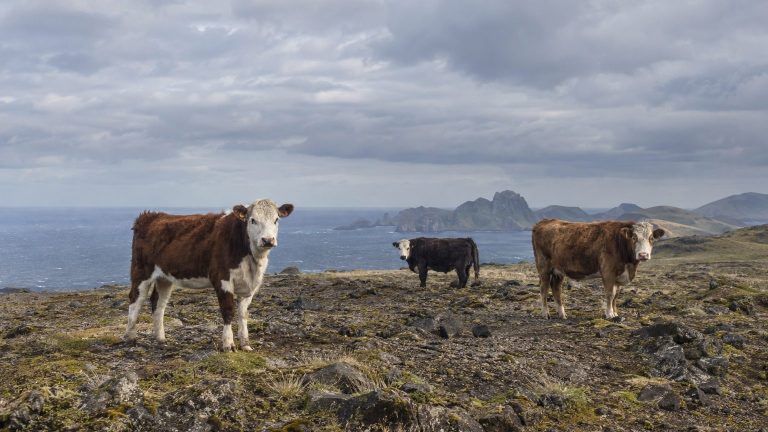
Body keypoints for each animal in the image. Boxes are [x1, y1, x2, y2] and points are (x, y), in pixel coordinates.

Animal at [125, 199, 294, 351]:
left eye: (276, 219)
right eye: (252, 220)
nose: (268, 240)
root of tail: (150, 216)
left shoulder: (250, 285)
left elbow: (243, 314)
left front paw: (245, 344)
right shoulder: (222, 278)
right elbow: (228, 310)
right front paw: (228, 344)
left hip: (164, 277)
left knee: (158, 303)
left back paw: (160, 339)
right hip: (141, 271)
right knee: (135, 299)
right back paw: (130, 337)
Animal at [532, 219, 664, 320]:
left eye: (651, 238)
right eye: (634, 237)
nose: (643, 255)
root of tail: (545, 221)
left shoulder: (619, 276)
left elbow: (616, 296)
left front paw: (615, 313)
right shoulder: (608, 272)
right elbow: (610, 294)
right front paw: (609, 314)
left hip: (558, 271)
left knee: (556, 288)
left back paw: (562, 314)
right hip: (543, 267)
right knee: (543, 289)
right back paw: (545, 314)